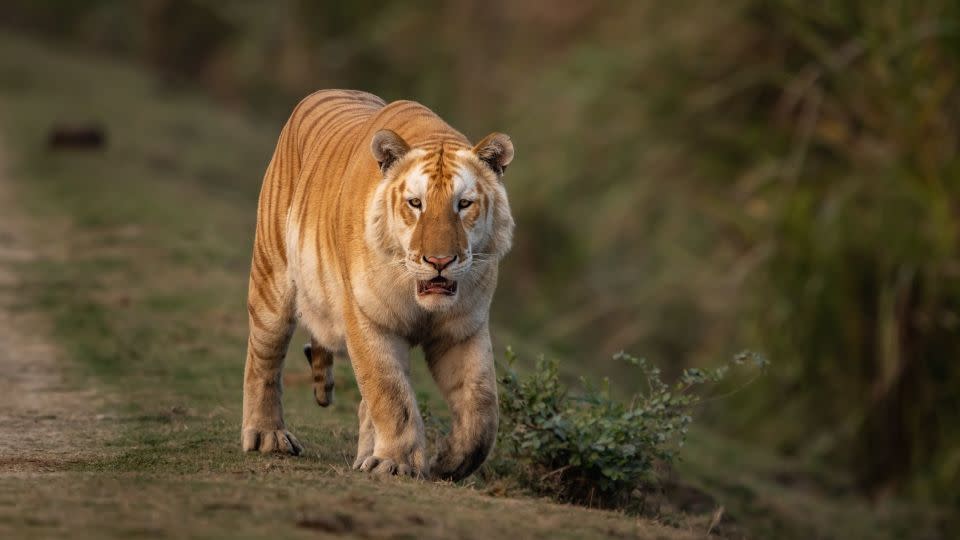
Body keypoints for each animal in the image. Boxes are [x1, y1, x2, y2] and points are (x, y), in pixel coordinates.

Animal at [240, 89, 512, 480]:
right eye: (415, 203)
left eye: (463, 204)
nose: (439, 261)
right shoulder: (367, 319)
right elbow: (390, 394)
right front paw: (396, 463)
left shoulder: (464, 329)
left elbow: (481, 406)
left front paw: (448, 462)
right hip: (271, 281)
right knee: (264, 357)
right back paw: (267, 436)